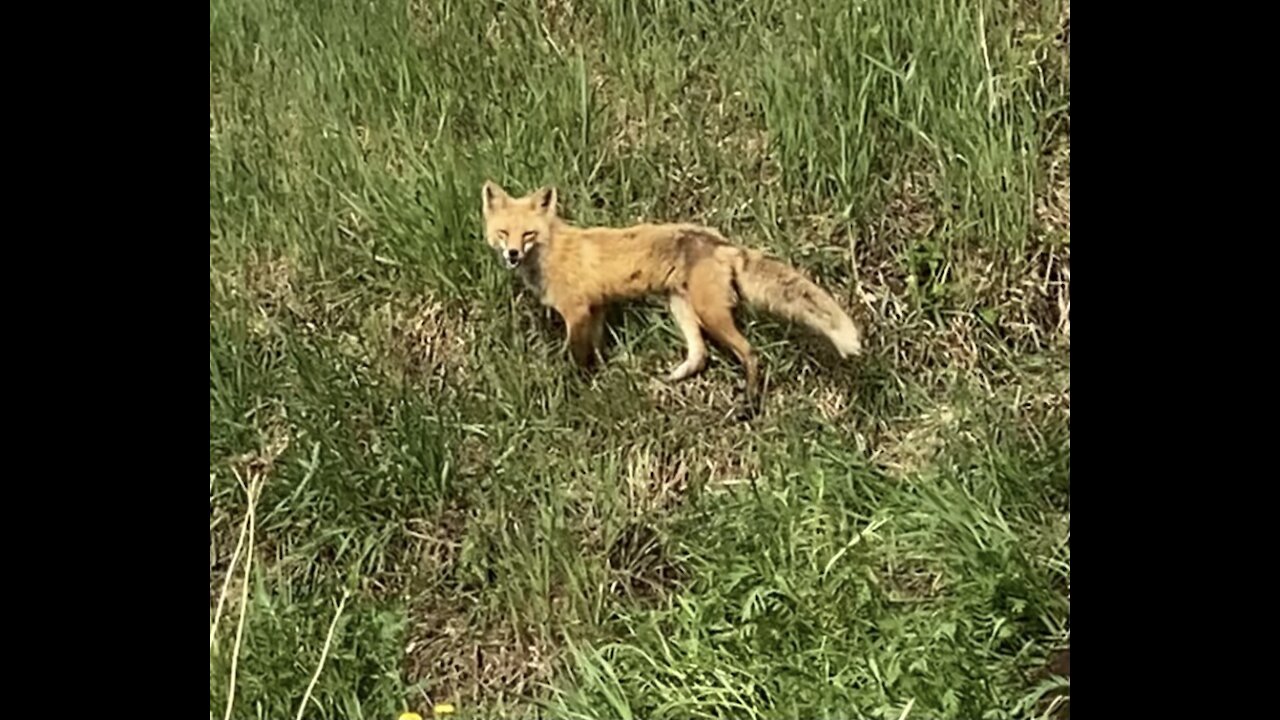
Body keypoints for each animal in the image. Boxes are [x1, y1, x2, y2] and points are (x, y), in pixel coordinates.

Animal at [481, 179, 860, 404]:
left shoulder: (576, 312)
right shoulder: (595, 308)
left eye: (527, 235)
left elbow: (577, 356)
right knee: (700, 355)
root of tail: (722, 242)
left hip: (710, 313)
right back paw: (672, 378)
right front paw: (599, 377)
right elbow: (597, 351)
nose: (512, 254)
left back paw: (750, 400)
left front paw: (575, 386)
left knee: (749, 352)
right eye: (503, 233)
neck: (552, 252)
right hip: (682, 309)